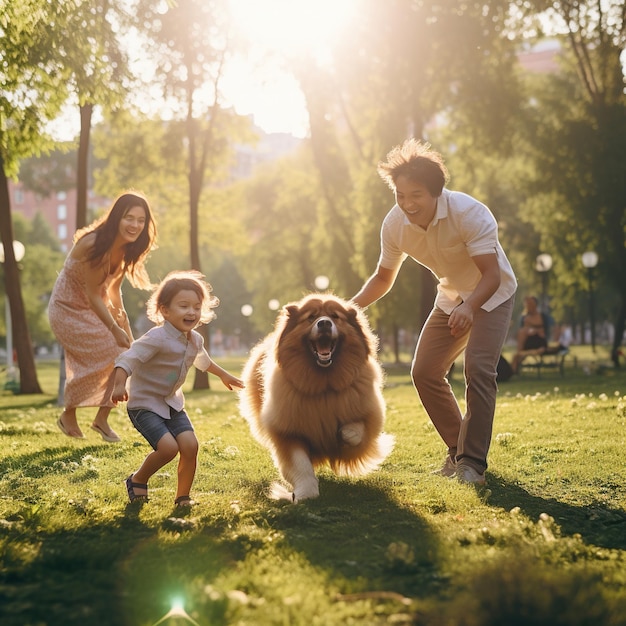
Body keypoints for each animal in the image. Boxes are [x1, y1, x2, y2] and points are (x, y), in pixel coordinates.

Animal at [238, 292, 390, 502]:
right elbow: (301, 467)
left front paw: (346, 433)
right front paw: (303, 494)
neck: (323, 388)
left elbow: (358, 430)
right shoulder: (288, 433)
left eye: (335, 316)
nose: (324, 323)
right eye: (311, 317)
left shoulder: (369, 413)